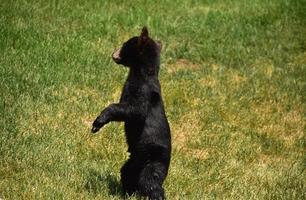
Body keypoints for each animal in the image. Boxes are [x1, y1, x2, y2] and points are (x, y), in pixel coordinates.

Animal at [91, 27, 172, 200]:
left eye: (125, 44)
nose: (114, 52)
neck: (140, 72)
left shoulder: (143, 91)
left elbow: (135, 111)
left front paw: (98, 122)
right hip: (135, 160)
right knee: (127, 173)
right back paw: (128, 193)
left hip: (154, 157)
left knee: (150, 182)